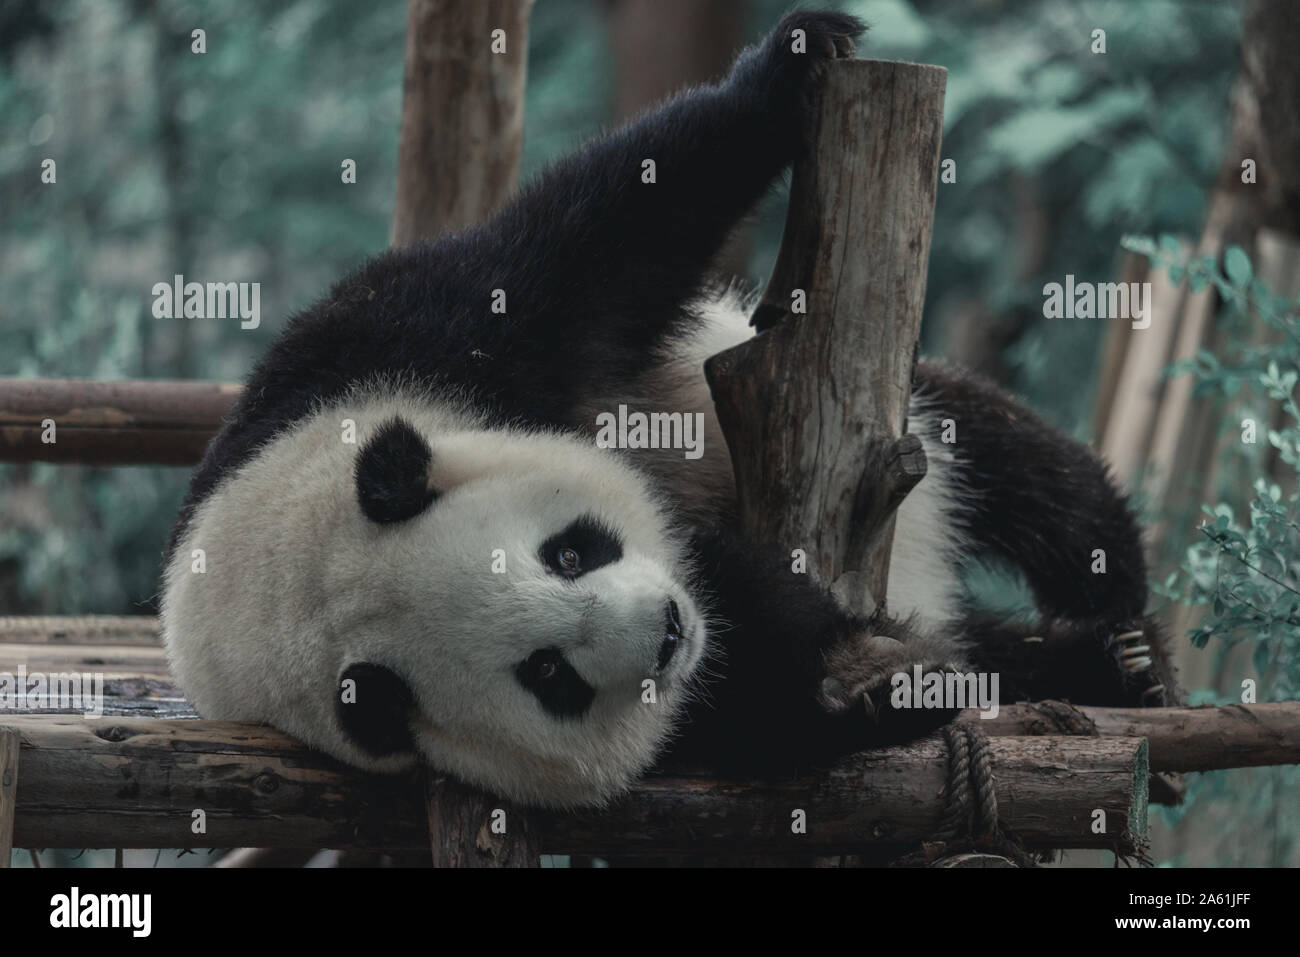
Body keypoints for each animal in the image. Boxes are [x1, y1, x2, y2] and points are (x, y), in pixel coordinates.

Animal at [161, 11, 1175, 809]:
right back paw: (1092, 659)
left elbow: (609, 232)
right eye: (549, 675)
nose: (667, 630)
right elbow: (750, 707)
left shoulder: (393, 347)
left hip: (922, 443)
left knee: (1005, 460)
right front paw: (867, 688)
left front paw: (795, 59)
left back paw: (1121, 624)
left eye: (568, 552)